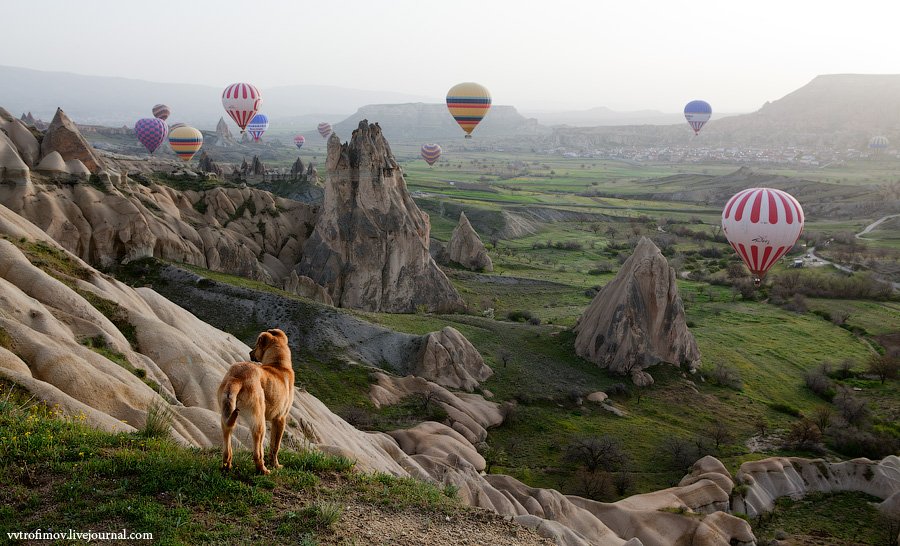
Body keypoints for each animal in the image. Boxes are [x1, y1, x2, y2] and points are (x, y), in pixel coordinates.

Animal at [218, 328, 296, 472]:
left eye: (257, 345)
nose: (250, 352)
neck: (278, 365)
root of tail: (237, 377)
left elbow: (273, 445)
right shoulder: (280, 419)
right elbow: (275, 446)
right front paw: (276, 465)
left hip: (226, 414)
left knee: (227, 438)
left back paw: (227, 465)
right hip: (259, 422)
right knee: (257, 451)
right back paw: (263, 470)